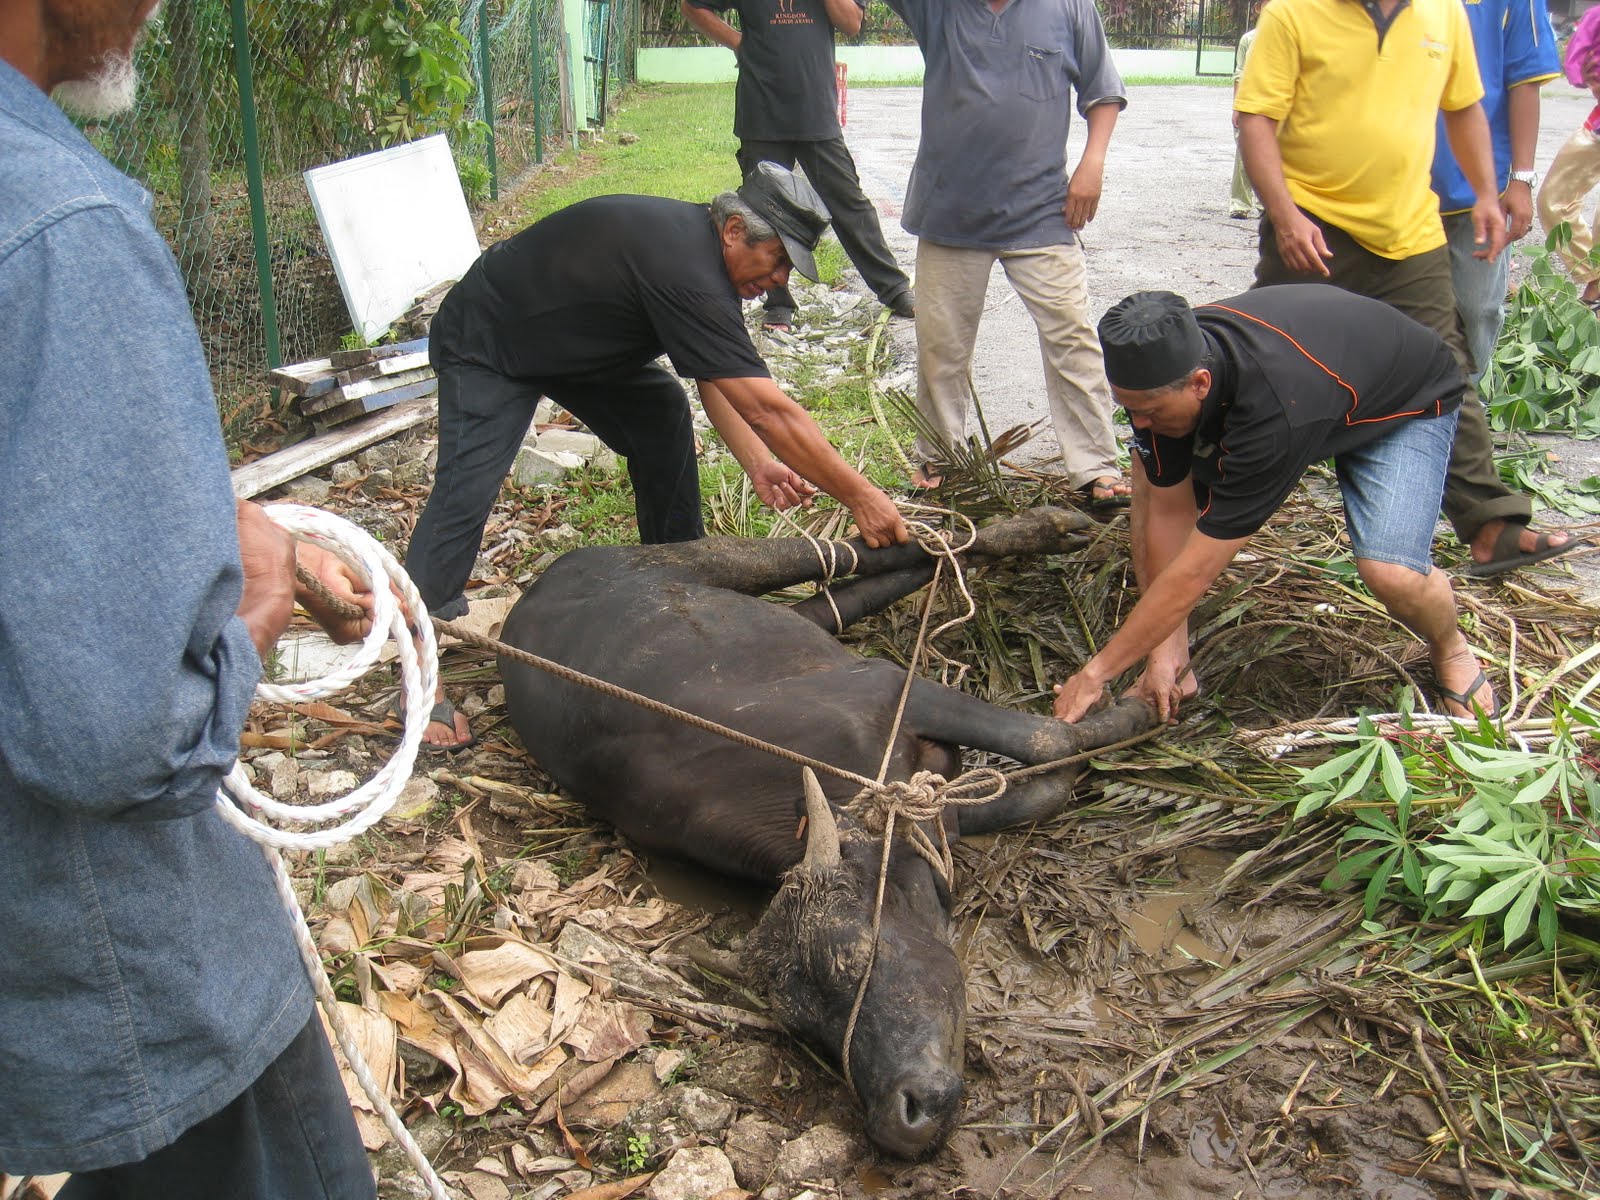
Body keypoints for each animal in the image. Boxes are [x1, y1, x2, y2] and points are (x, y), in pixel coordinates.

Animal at [499, 508, 1152, 1164]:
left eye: (858, 957)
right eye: (807, 1028)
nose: (902, 1117)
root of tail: (537, 589)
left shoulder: (895, 689)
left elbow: (1049, 739)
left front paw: (1141, 713)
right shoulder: (935, 805)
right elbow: (1047, 785)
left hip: (690, 562)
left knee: (850, 551)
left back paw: (1042, 527)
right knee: (843, 597)